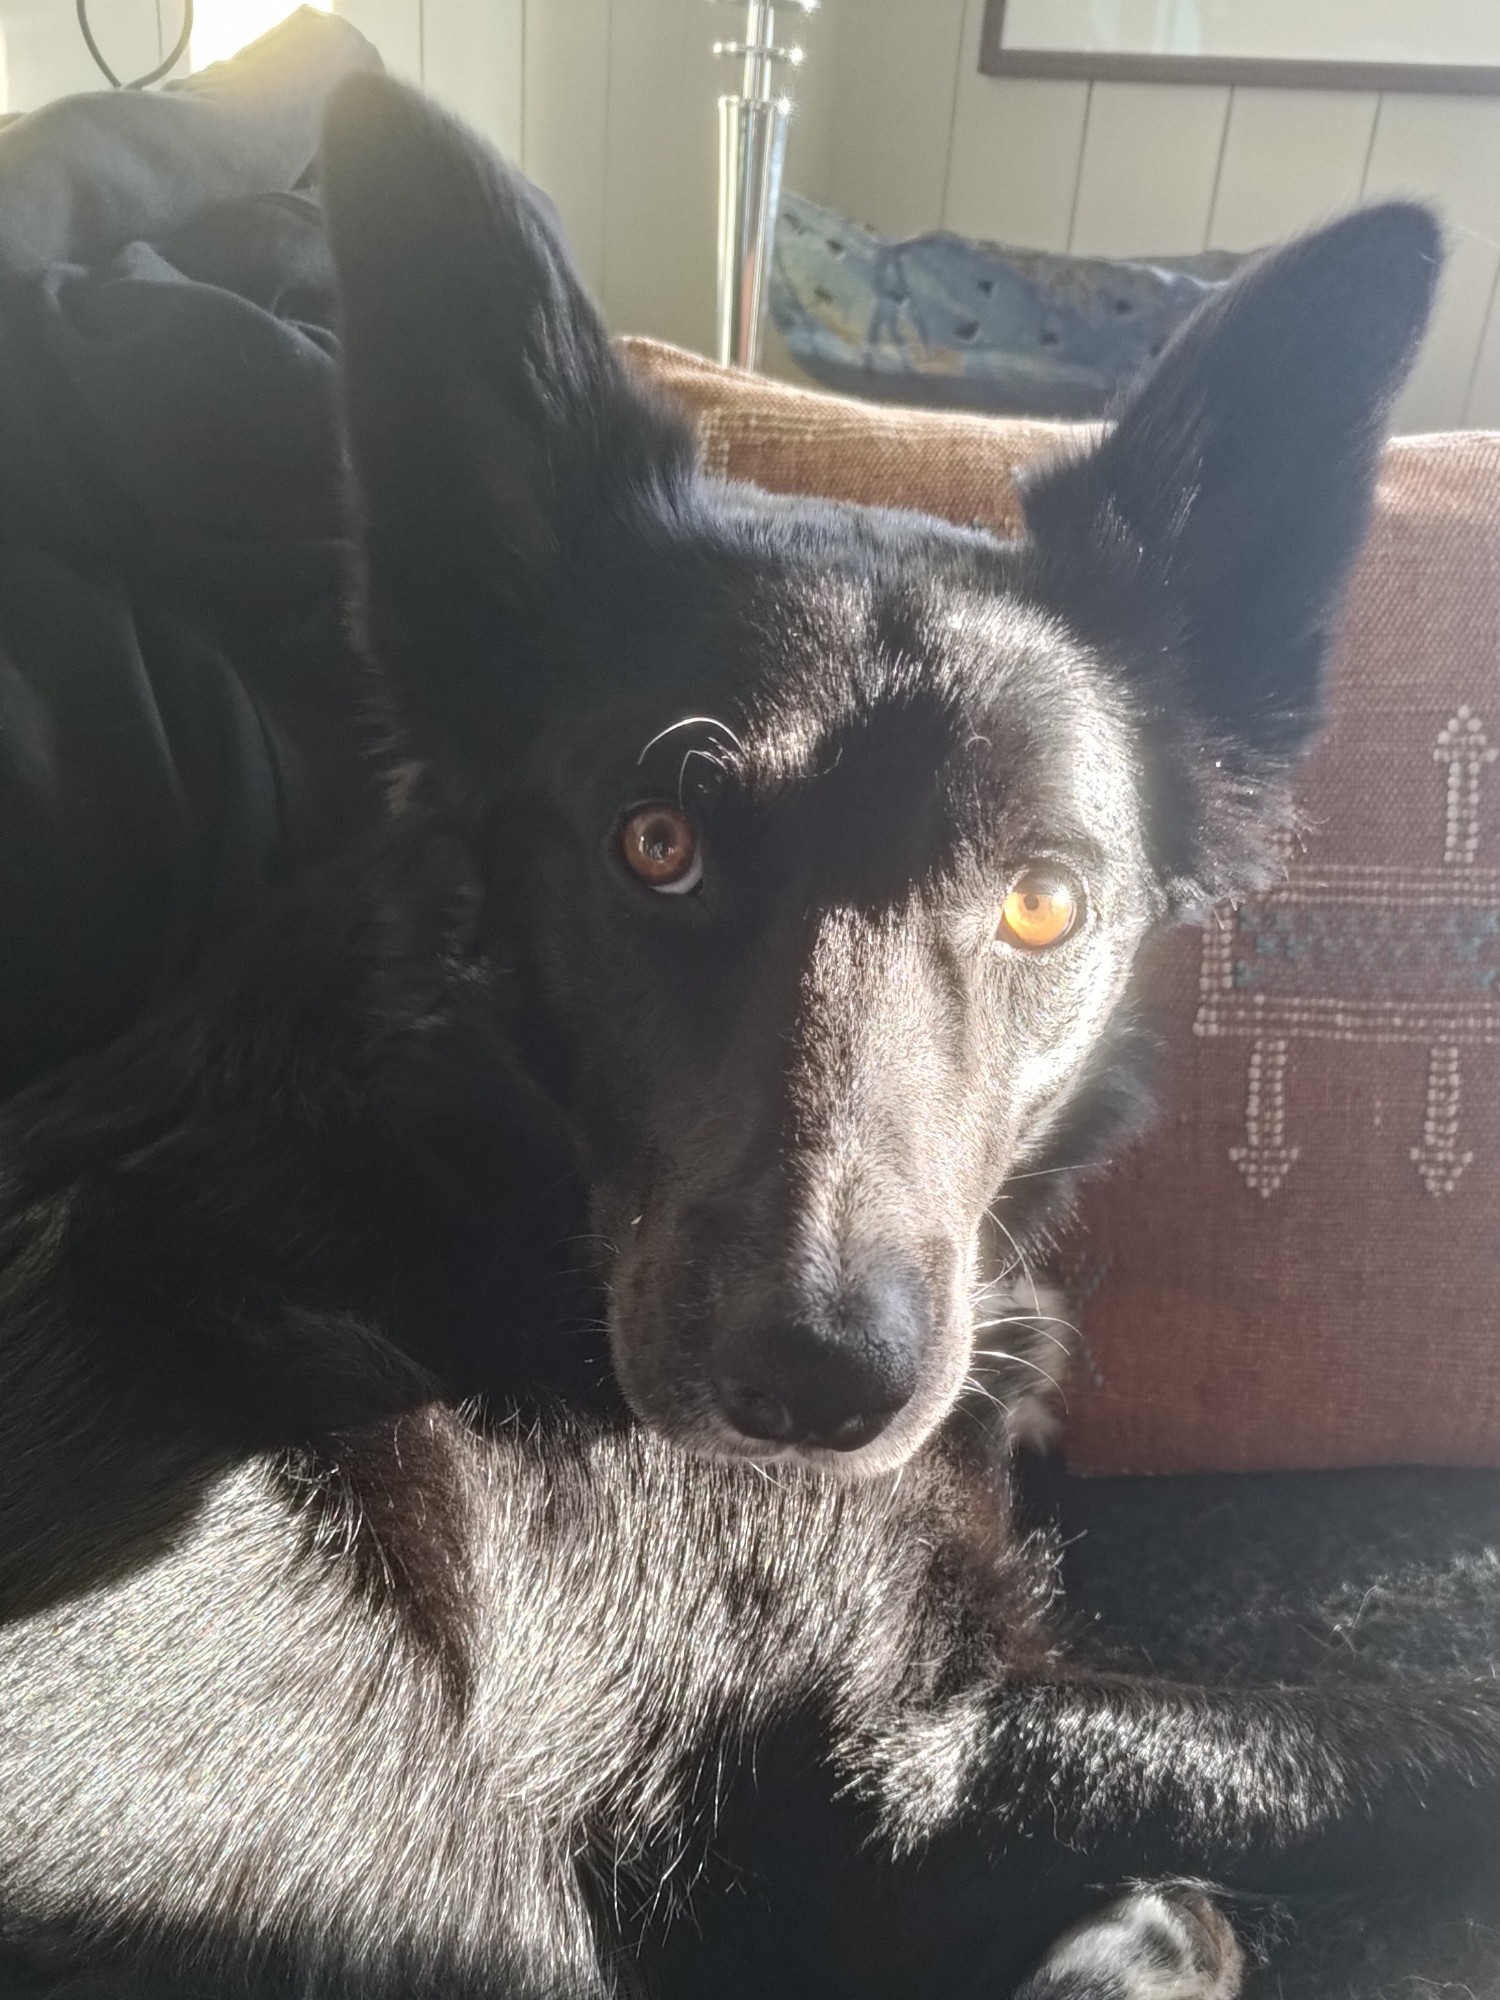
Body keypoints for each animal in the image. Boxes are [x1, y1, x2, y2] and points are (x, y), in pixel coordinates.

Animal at [0, 72, 1496, 2000]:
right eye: (661, 845)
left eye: (1042, 905)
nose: (814, 1387)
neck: (483, 1172)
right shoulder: (908, 1778)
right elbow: (1381, 1733)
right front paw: (1151, 1929)